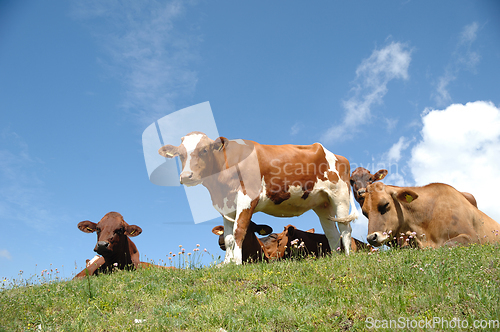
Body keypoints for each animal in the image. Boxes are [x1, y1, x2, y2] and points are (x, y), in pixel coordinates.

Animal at [158, 131, 358, 264]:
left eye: (205, 150)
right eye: (180, 154)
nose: (186, 176)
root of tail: (338, 156)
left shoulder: (247, 197)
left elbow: (239, 231)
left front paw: (237, 263)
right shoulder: (225, 205)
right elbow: (228, 237)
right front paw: (227, 264)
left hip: (339, 195)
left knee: (345, 228)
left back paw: (348, 256)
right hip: (322, 203)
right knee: (332, 232)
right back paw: (336, 257)